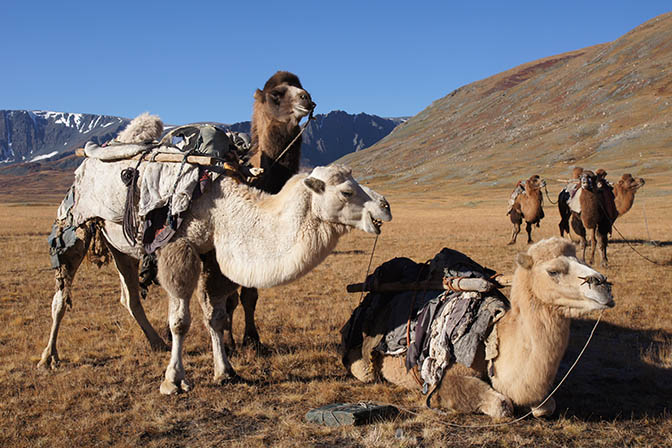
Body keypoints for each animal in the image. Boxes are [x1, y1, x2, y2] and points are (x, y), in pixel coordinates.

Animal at [38, 150, 394, 392]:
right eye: (346, 191)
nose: (385, 206)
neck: (223, 209)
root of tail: (85, 163)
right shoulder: (178, 248)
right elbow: (181, 321)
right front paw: (174, 380)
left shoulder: (212, 256)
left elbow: (216, 317)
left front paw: (226, 371)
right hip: (75, 226)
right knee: (60, 296)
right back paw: (48, 358)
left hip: (121, 245)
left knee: (130, 296)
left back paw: (155, 343)